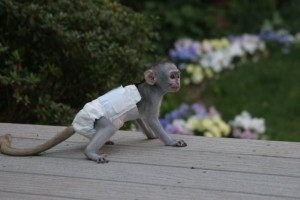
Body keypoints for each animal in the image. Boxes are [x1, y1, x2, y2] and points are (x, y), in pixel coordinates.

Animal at [0, 61, 186, 163]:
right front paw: (170, 141)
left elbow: (140, 118)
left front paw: (151, 136)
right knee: (109, 127)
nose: (178, 81)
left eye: (177, 75)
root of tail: (77, 120)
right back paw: (90, 153)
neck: (153, 87)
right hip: (98, 119)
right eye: (172, 76)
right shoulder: (152, 99)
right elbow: (152, 119)